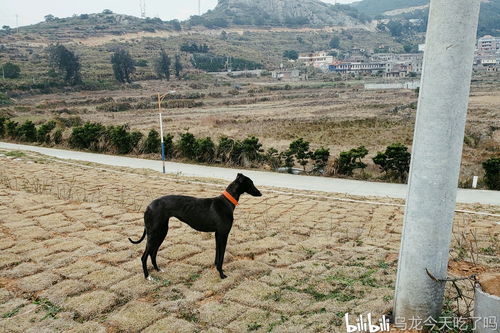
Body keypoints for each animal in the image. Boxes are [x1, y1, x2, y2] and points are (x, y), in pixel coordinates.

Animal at [128, 172, 262, 278]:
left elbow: (217, 254)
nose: (260, 193)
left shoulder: (217, 234)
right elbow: (222, 256)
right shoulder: (223, 234)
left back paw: (157, 269)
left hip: (161, 232)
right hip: (154, 233)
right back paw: (148, 276)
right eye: (251, 183)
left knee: (153, 252)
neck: (227, 202)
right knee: (144, 256)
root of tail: (148, 206)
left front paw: (215, 267)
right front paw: (221, 274)